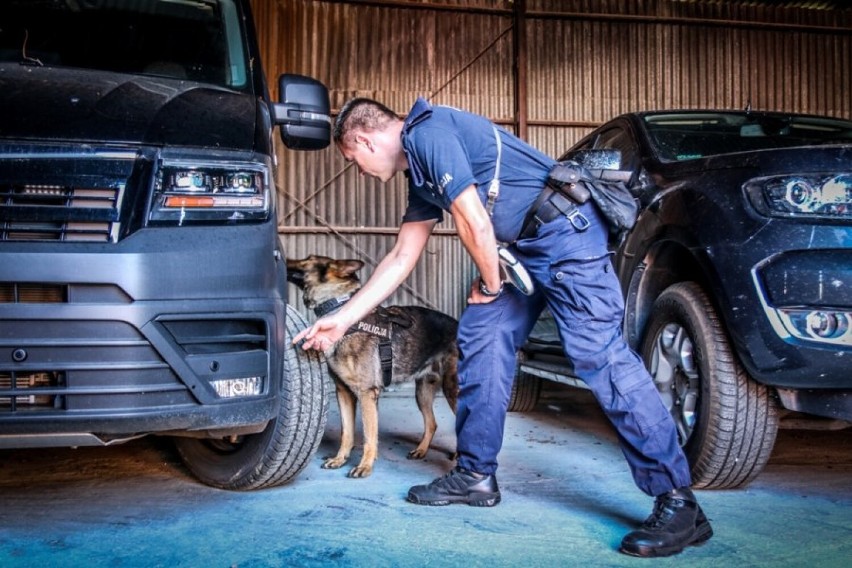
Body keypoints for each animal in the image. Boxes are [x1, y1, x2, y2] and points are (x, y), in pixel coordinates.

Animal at [286, 255, 460, 478]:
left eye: (308, 259)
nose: (281, 255)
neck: (339, 309)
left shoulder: (367, 394)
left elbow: (369, 435)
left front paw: (365, 466)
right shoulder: (344, 393)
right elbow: (347, 433)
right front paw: (340, 459)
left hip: (452, 390)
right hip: (422, 394)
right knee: (432, 424)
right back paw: (421, 450)